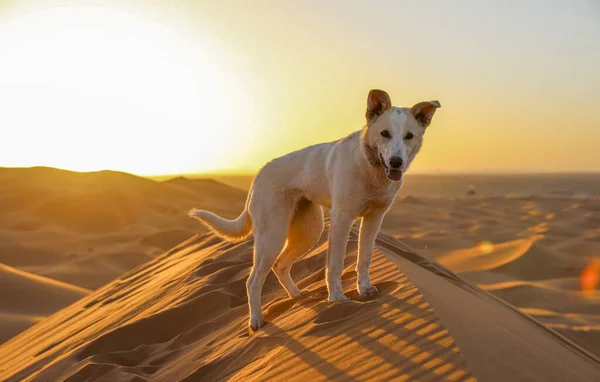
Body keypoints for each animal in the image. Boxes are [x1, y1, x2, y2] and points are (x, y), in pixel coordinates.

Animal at [190, 90, 438, 332]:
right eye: (384, 133)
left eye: (409, 136)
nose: (396, 162)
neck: (370, 165)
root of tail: (258, 175)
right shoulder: (342, 219)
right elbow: (335, 264)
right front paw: (337, 298)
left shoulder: (374, 219)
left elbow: (364, 259)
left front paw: (365, 290)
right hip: (273, 235)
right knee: (253, 281)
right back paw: (256, 321)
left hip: (309, 232)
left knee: (280, 265)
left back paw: (297, 296)